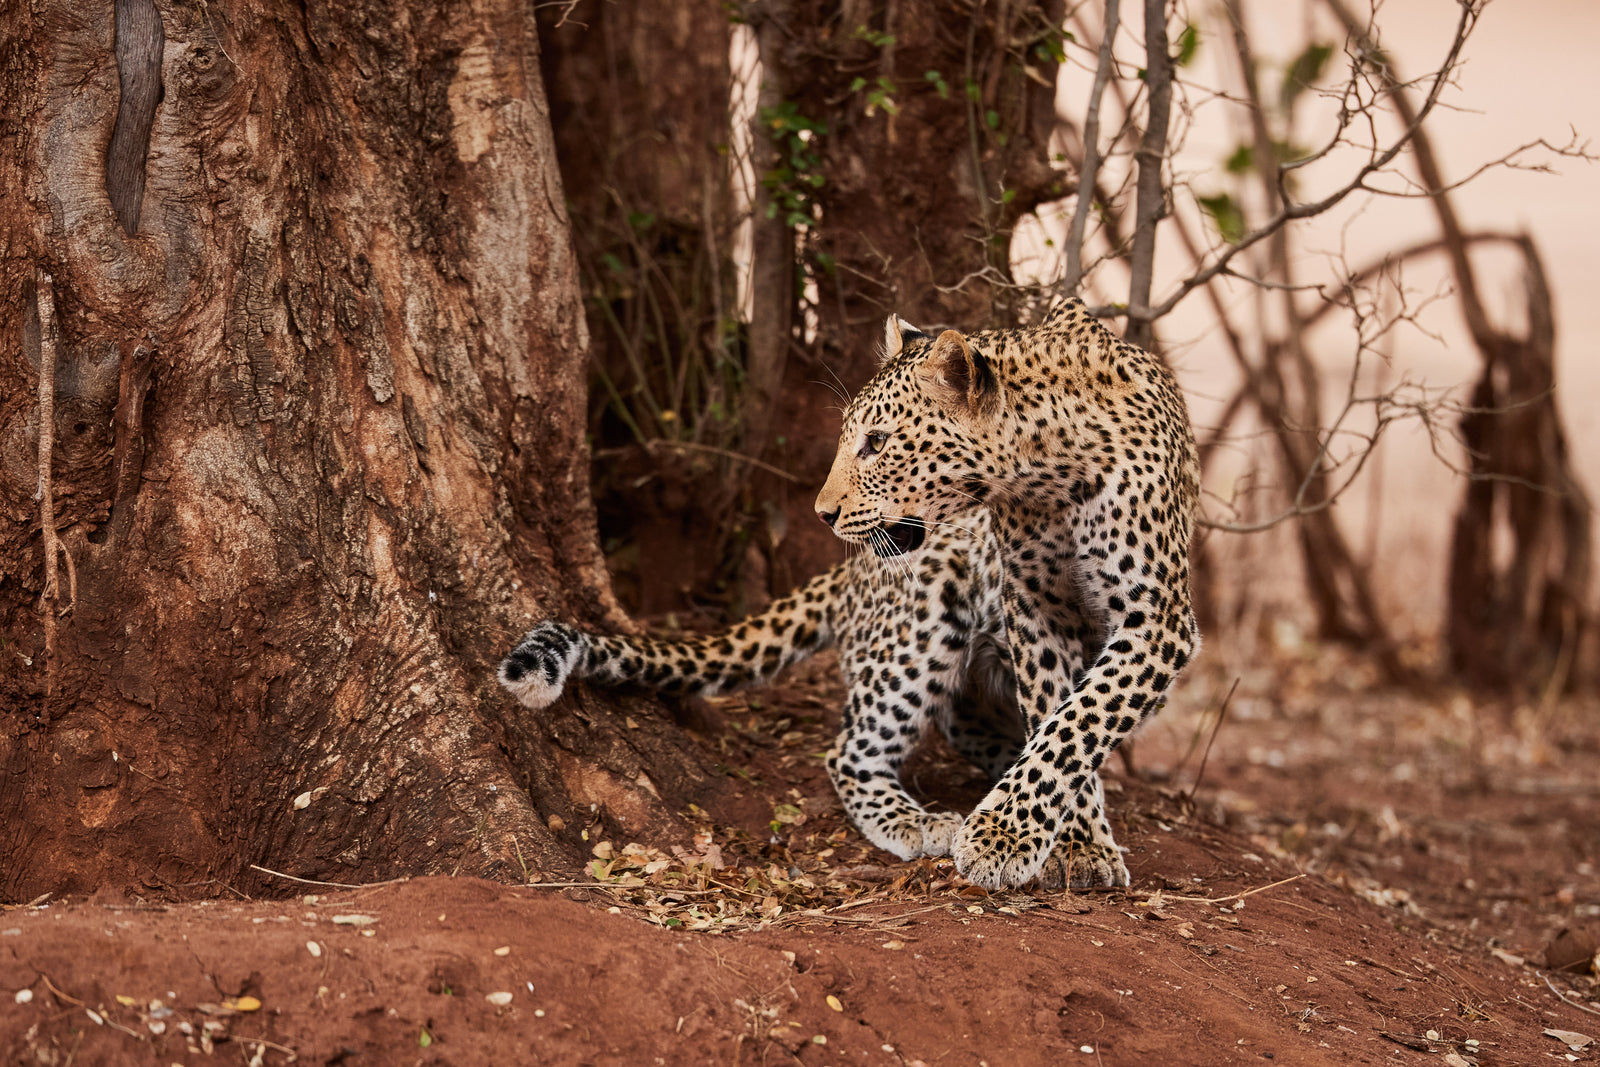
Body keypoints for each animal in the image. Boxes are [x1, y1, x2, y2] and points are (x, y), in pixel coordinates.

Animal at [813, 298, 1199, 889]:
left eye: (876, 443)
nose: (822, 513)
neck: (1054, 477)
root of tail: (847, 578)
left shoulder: (1157, 618)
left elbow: (1081, 720)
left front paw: (1007, 835)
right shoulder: (1036, 605)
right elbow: (1055, 710)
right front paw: (1071, 842)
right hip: (927, 612)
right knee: (849, 753)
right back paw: (917, 821)